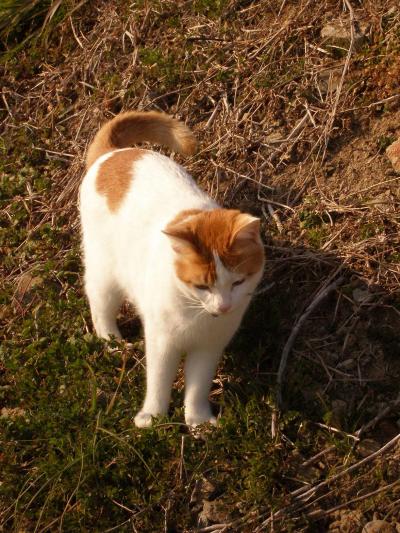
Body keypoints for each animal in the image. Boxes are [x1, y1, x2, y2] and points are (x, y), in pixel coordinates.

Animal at [79, 110, 264, 426]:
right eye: (202, 286)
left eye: (238, 282)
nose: (224, 307)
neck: (197, 314)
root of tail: (113, 154)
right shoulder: (162, 342)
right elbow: (159, 381)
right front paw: (153, 418)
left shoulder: (208, 348)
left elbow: (198, 387)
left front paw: (198, 421)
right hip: (105, 275)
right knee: (100, 305)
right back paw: (112, 342)